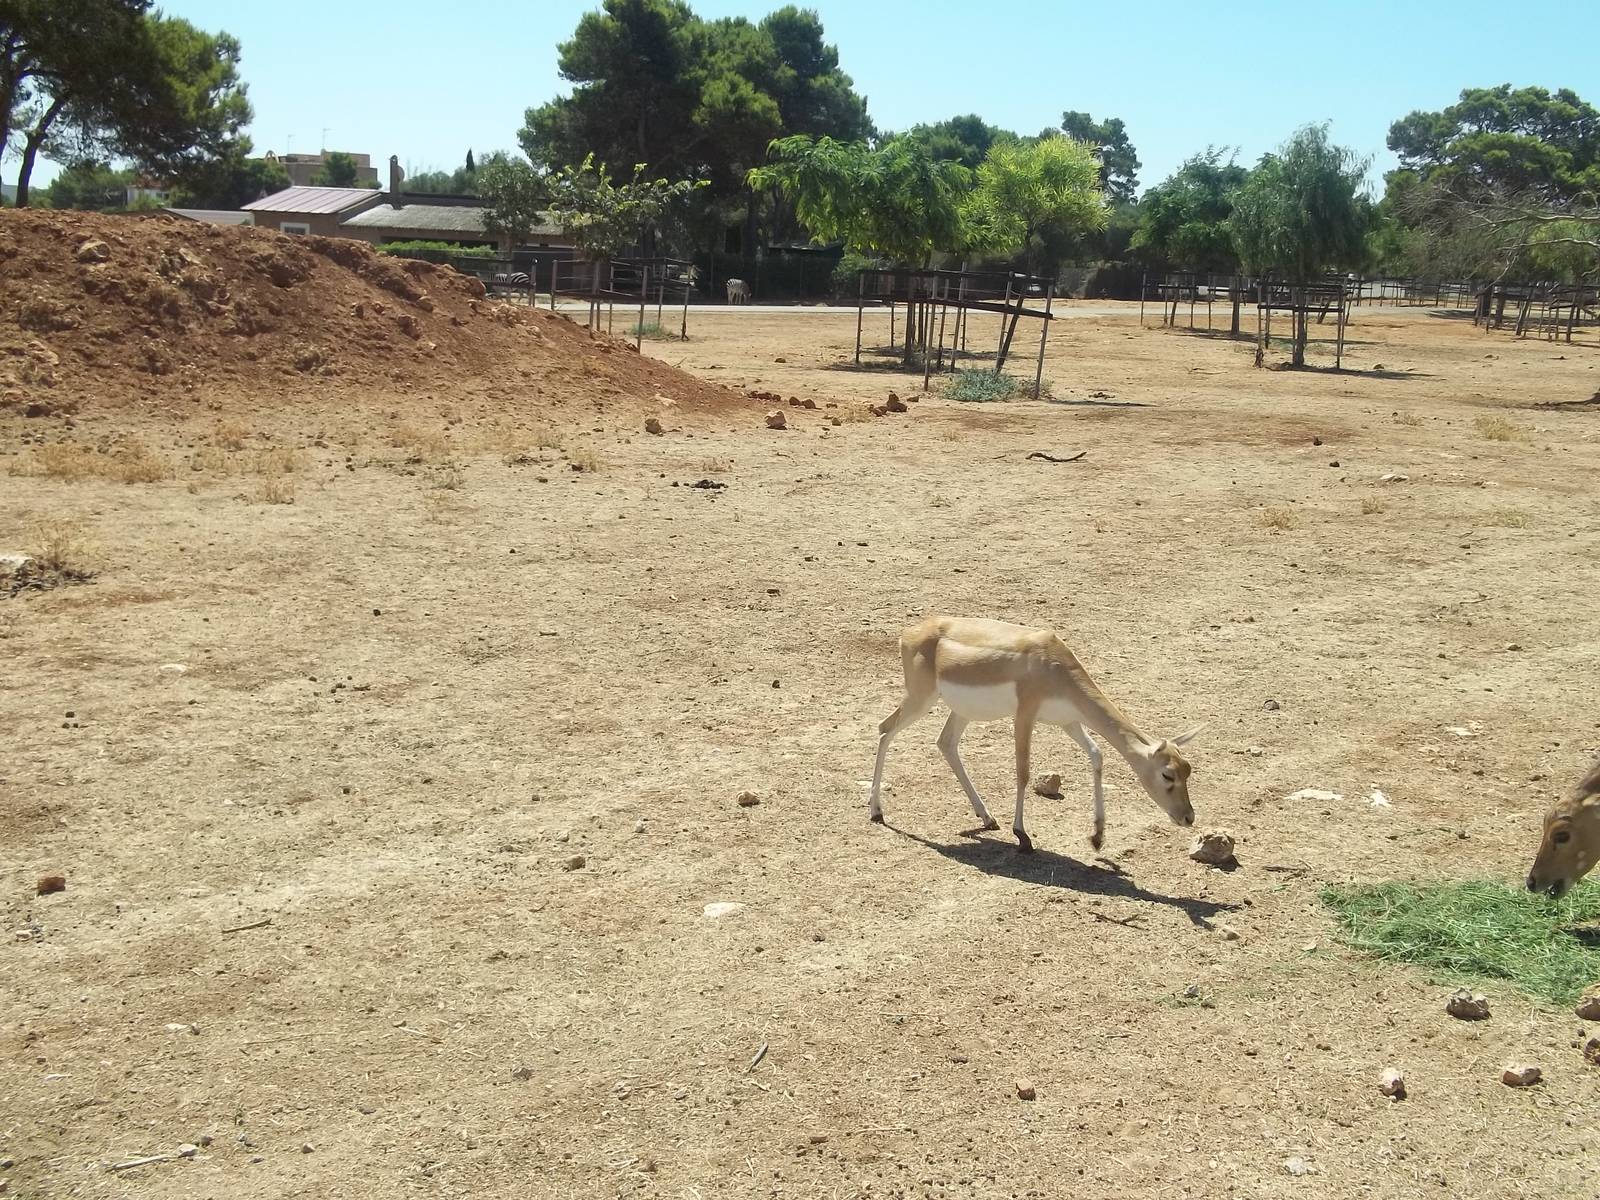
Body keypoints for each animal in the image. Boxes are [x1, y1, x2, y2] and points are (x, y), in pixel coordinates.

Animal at [868, 616, 1203, 852]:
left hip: (961, 711)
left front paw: (1097, 836)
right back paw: (876, 812)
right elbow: (1023, 772)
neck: (1052, 664)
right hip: (920, 699)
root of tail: (909, 633)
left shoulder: (1069, 721)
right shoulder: (1025, 716)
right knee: (885, 729)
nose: (1188, 817)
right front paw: (1022, 836)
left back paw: (987, 818)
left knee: (946, 743)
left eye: (1188, 770)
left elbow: (1097, 755)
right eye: (1167, 775)